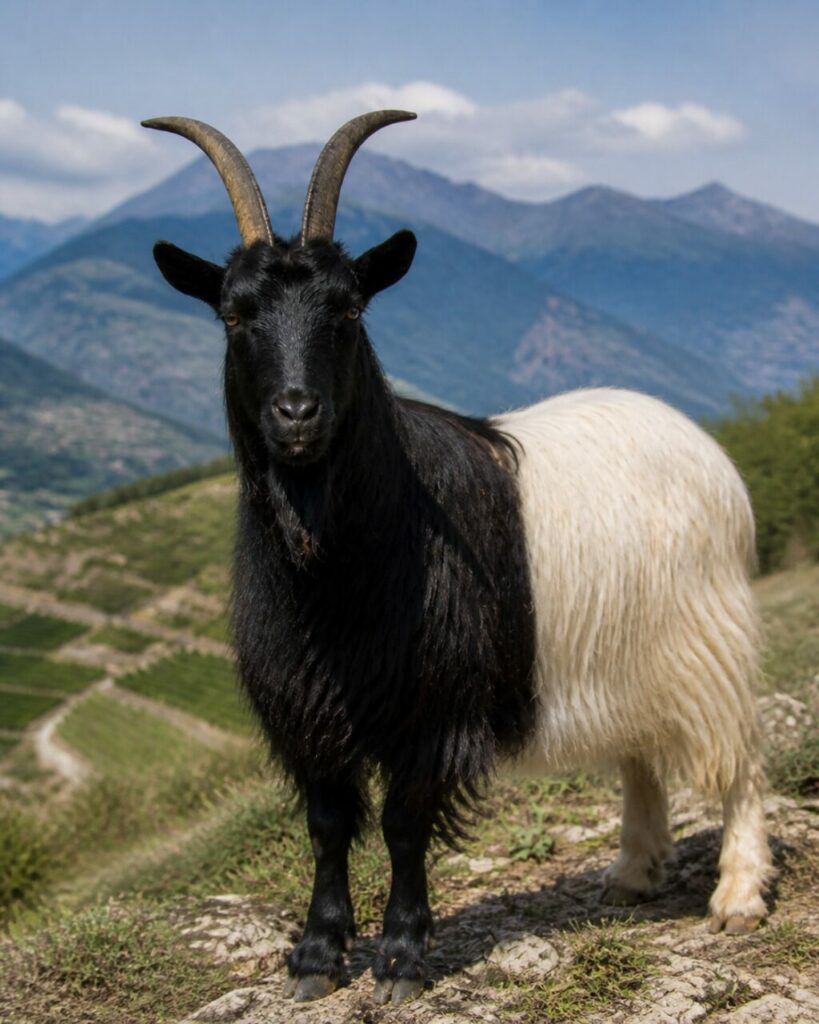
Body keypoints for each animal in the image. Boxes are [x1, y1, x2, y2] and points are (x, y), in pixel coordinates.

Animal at [144, 110, 774, 1006]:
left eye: (348, 309)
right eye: (233, 315)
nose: (296, 414)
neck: (343, 567)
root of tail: (705, 449)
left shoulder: (433, 706)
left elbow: (404, 823)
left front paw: (402, 957)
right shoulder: (306, 714)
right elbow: (327, 825)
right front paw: (316, 955)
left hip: (704, 637)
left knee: (741, 756)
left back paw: (737, 895)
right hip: (627, 654)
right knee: (640, 757)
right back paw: (631, 871)